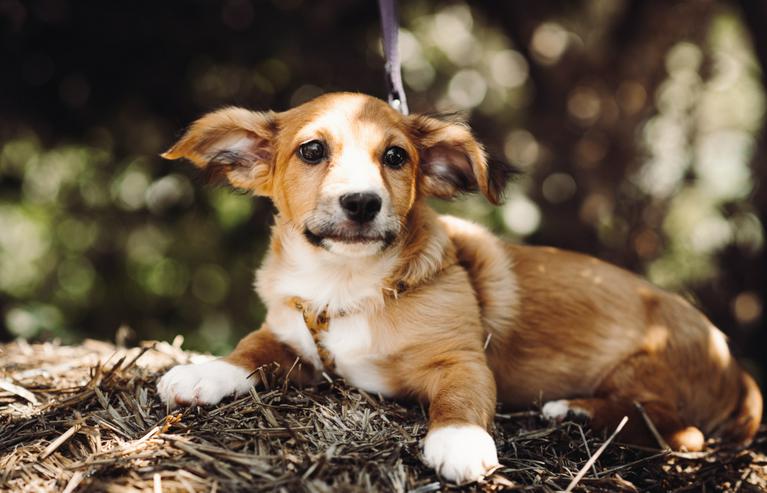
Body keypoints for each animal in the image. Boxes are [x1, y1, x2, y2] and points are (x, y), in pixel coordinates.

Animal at [158, 91, 760, 480]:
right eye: (311, 151)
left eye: (395, 157)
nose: (362, 203)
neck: (347, 284)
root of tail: (736, 367)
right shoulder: (290, 337)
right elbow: (249, 348)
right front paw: (204, 371)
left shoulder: (463, 361)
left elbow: (460, 400)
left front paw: (460, 441)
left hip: (648, 363)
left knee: (681, 430)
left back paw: (576, 410)